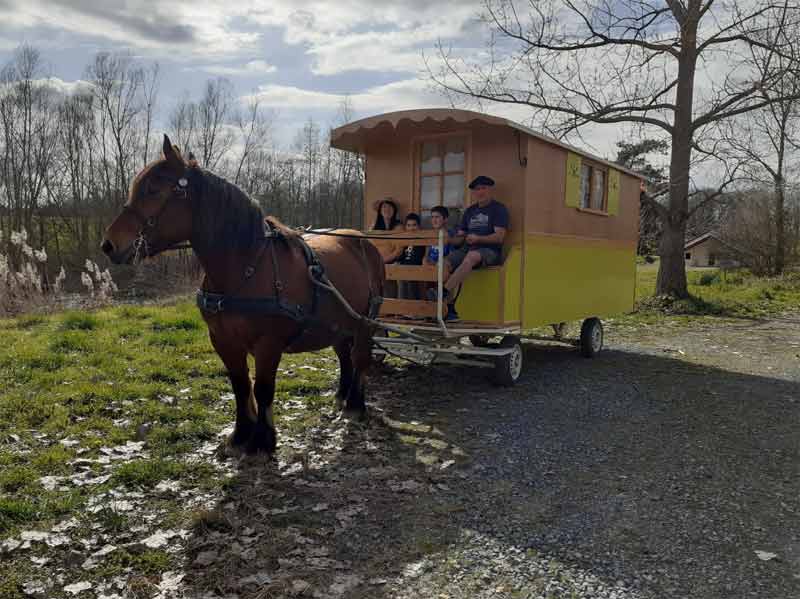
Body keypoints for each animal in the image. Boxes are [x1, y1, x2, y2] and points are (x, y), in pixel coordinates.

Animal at [102, 136, 384, 454]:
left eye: (153, 189)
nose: (109, 244)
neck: (246, 266)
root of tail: (364, 243)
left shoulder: (268, 344)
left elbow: (262, 389)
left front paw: (263, 439)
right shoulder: (223, 339)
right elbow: (240, 385)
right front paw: (241, 434)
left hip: (365, 322)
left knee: (360, 357)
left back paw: (355, 404)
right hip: (338, 324)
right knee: (344, 355)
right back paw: (342, 394)